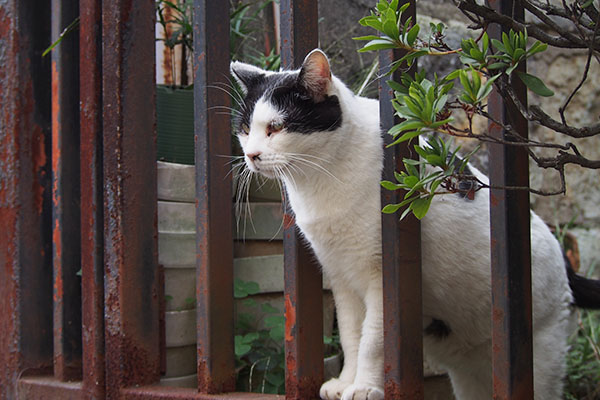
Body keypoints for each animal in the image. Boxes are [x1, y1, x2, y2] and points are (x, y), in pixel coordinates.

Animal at [230, 48, 600, 398]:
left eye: (277, 127)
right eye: (246, 130)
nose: (251, 155)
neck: (318, 181)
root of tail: (567, 264)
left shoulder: (383, 275)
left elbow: (372, 340)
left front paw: (364, 388)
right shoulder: (342, 278)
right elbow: (351, 336)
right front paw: (345, 383)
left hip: (540, 351)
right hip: (470, 373)